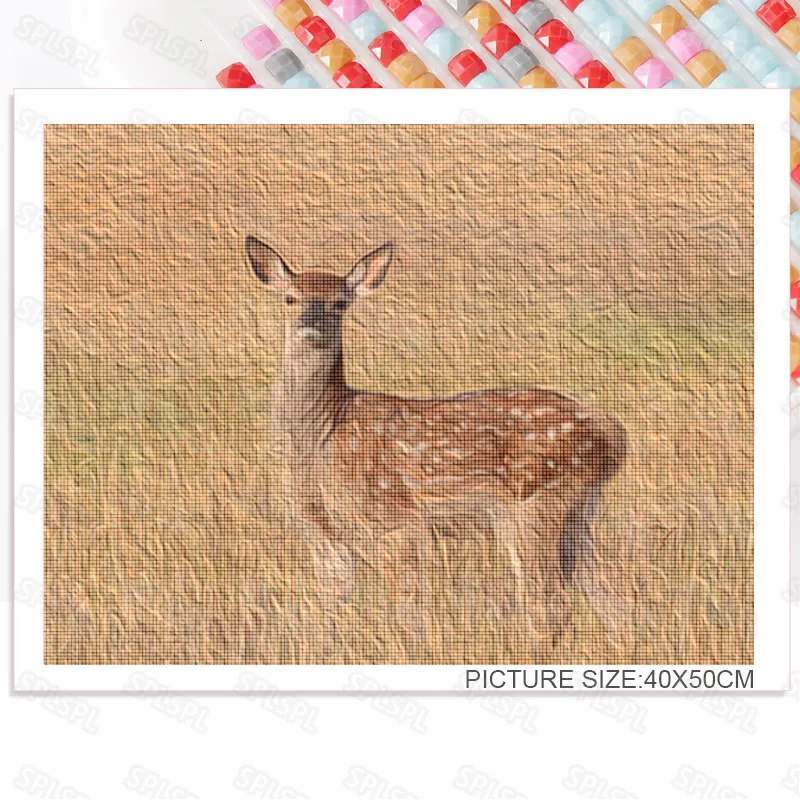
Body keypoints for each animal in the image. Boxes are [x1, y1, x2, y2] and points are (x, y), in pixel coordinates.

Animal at [246, 236, 628, 641]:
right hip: (577, 510)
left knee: (552, 601)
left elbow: (407, 610)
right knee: (611, 594)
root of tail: (613, 431)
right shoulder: (322, 530)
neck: (322, 436)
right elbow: (332, 607)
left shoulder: (394, 517)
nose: (311, 322)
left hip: (535, 504)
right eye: (290, 298)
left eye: (340, 301)